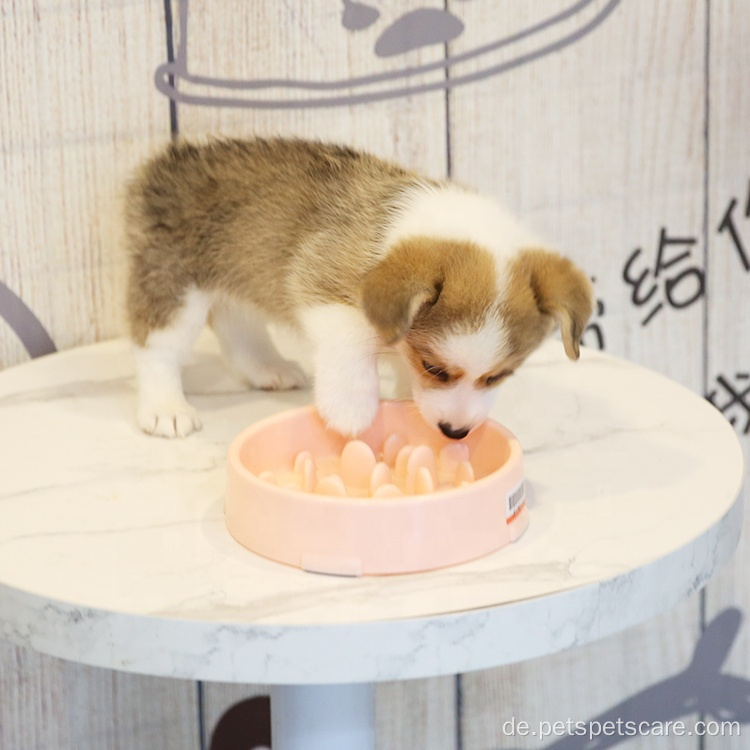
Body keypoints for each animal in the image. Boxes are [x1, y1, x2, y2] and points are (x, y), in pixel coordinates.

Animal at [125, 138, 592, 438]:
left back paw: (267, 368)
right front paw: (350, 411)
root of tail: (164, 162)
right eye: (435, 368)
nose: (455, 432)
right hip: (174, 286)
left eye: (499, 376)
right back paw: (165, 409)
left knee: (236, 325)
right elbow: (352, 347)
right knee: (157, 348)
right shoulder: (320, 285)